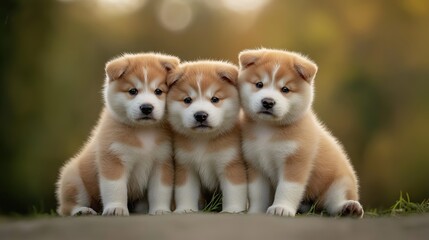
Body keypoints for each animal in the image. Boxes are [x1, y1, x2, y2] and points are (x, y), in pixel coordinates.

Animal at [55, 52, 179, 216]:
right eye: (133, 91)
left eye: (158, 91)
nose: (146, 107)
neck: (143, 132)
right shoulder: (113, 158)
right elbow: (115, 189)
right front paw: (116, 208)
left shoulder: (162, 162)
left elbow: (160, 191)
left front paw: (160, 210)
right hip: (75, 180)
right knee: (67, 207)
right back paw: (82, 210)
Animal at [167, 61, 247, 213]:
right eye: (187, 100)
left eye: (215, 99)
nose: (200, 115)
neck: (203, 140)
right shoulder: (186, 166)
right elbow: (185, 192)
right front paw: (185, 209)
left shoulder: (231, 165)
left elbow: (233, 191)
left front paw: (232, 210)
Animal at [237, 48, 362, 218]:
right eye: (259, 84)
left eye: (285, 89)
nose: (268, 102)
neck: (268, 130)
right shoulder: (255, 164)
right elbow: (258, 194)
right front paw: (255, 211)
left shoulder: (295, 160)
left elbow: (287, 189)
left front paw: (281, 208)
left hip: (339, 183)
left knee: (334, 203)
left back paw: (349, 208)